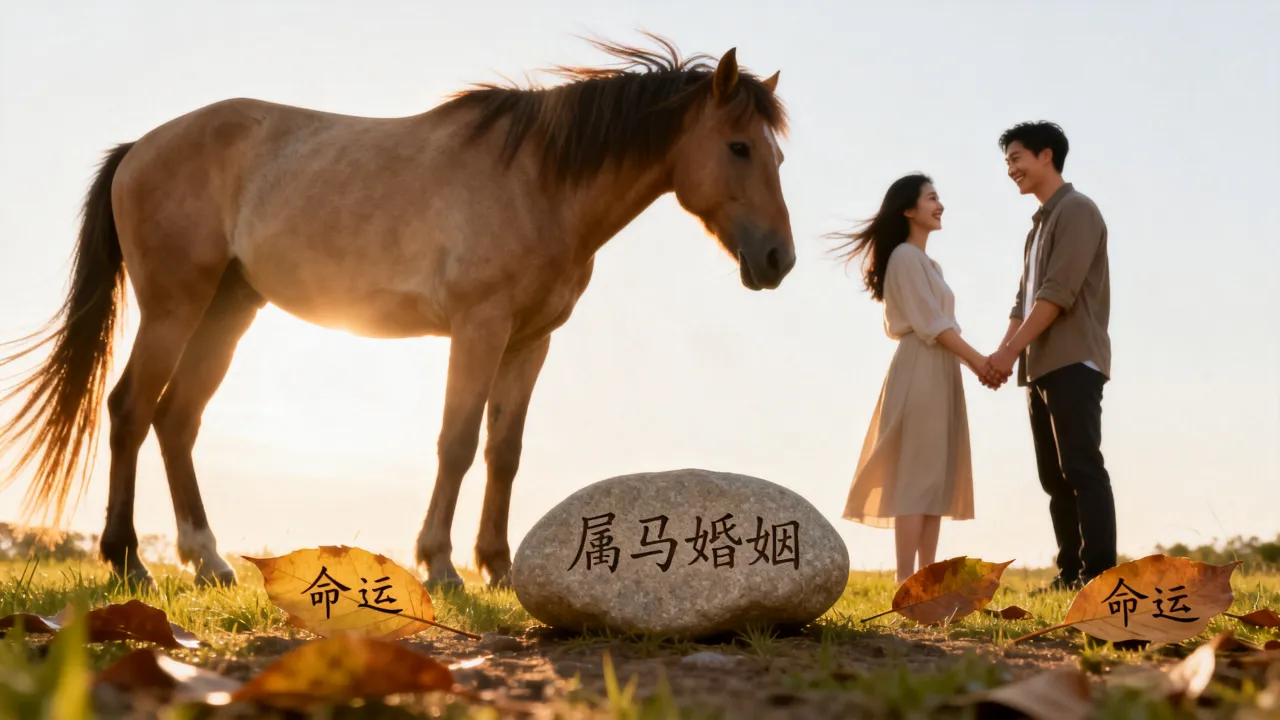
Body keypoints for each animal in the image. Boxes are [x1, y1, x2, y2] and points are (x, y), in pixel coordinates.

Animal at [0, 34, 794, 590]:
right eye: (738, 146)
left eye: (777, 157)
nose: (777, 260)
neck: (540, 181)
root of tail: (141, 147)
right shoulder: (478, 329)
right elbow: (457, 442)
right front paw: (439, 566)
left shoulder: (530, 341)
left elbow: (505, 452)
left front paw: (499, 568)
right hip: (174, 308)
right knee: (132, 410)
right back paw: (127, 561)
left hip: (227, 313)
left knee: (177, 419)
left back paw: (209, 561)